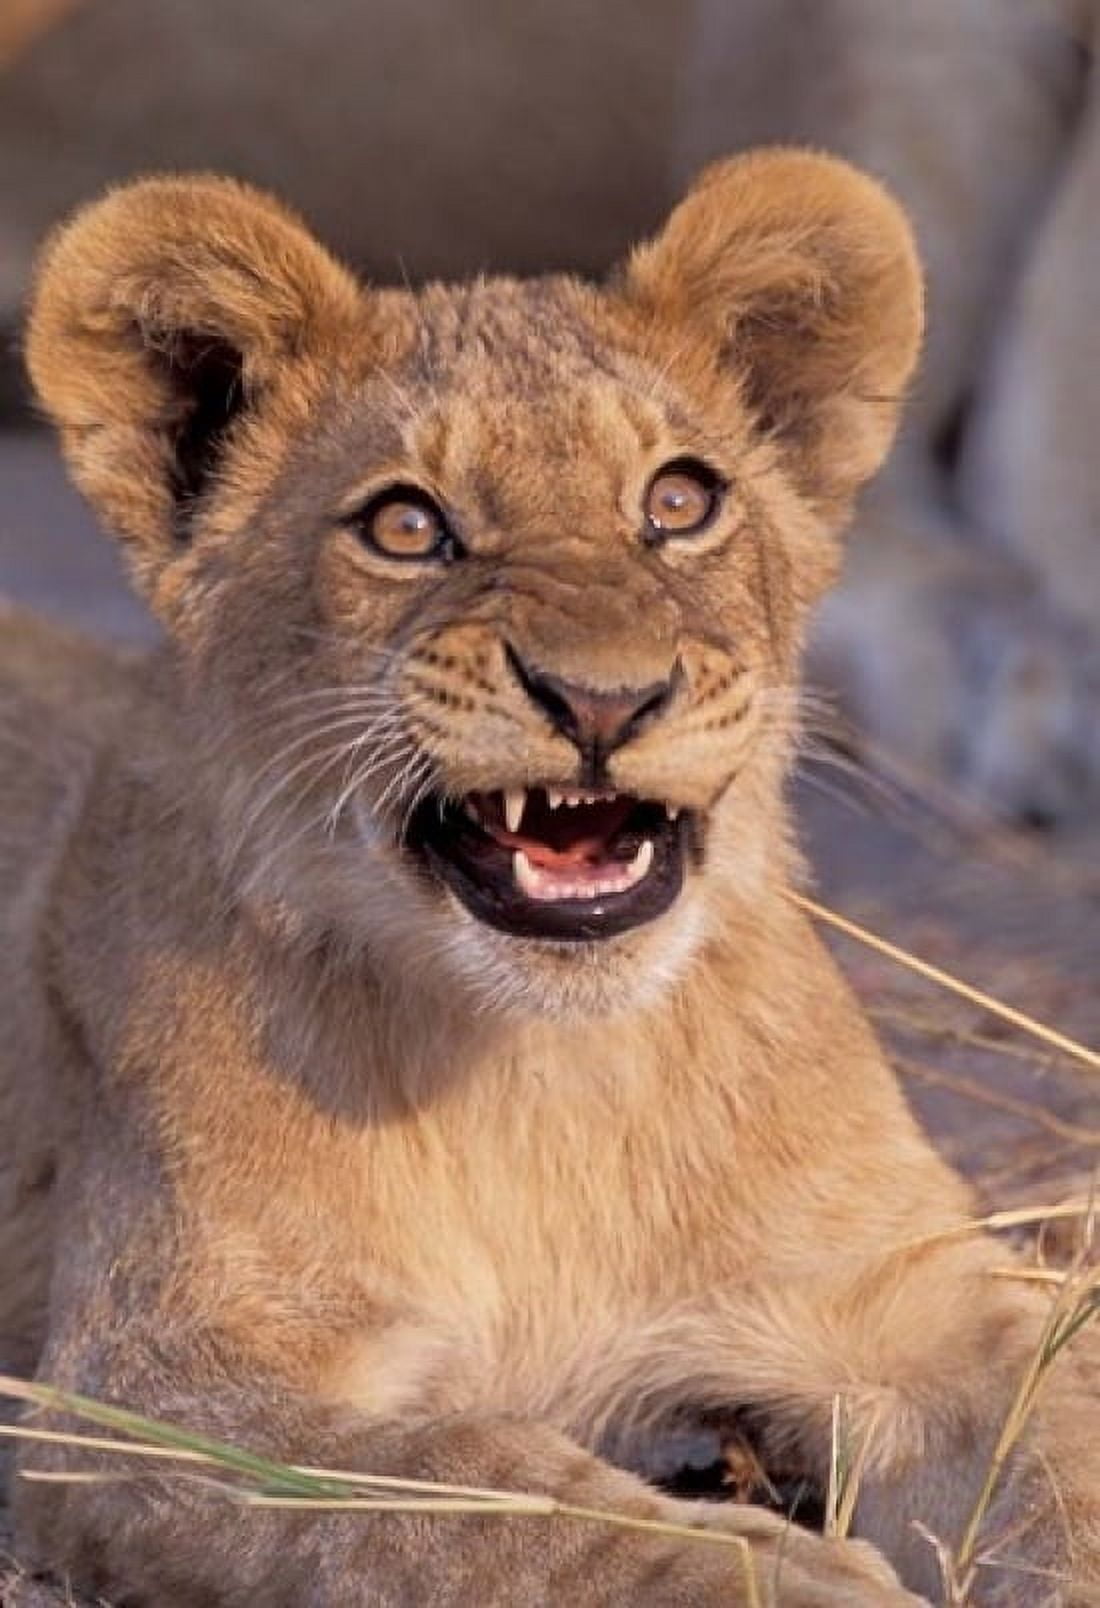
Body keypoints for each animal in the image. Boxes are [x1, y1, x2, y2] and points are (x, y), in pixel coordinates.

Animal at [1, 151, 1098, 1606]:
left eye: (679, 502)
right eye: (407, 525)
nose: (604, 699)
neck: (547, 1078)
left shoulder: (918, 1300)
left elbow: (1063, 1454)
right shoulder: (149, 1401)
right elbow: (484, 1501)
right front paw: (802, 1580)